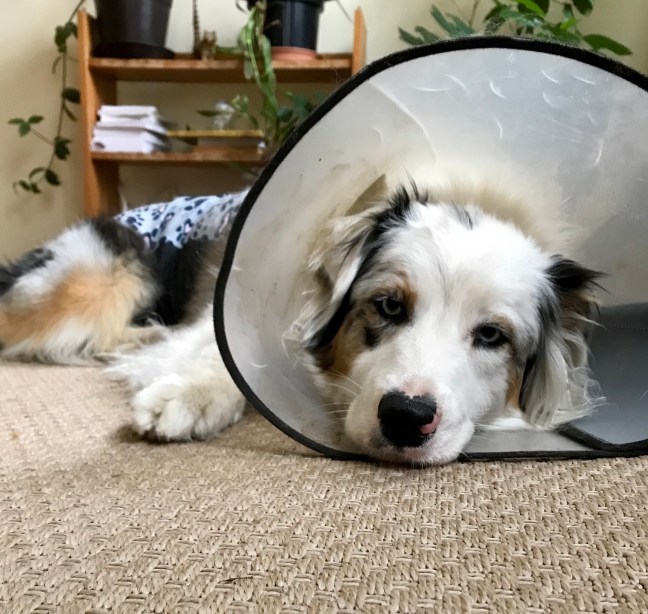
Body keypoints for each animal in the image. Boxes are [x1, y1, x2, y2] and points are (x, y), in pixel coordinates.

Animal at [0, 177, 601, 465]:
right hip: (104, 280)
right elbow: (218, 355)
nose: (406, 418)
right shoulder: (221, 317)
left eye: (492, 336)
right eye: (389, 306)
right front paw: (188, 395)